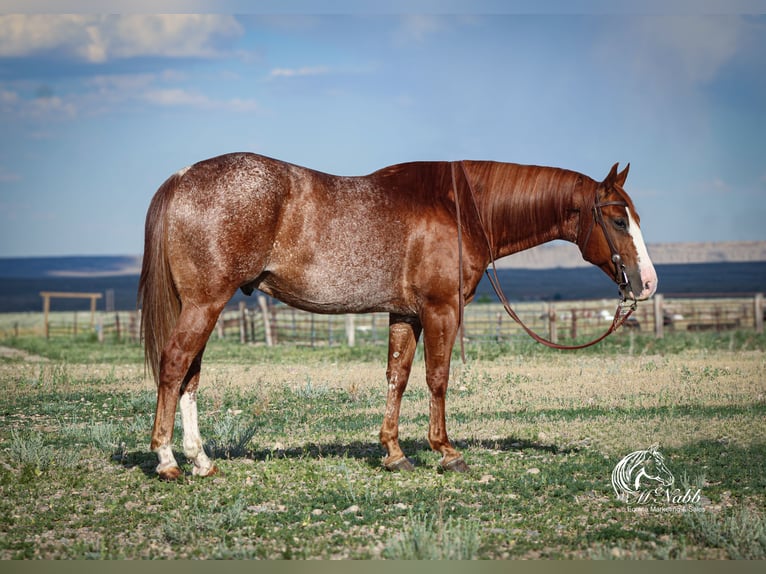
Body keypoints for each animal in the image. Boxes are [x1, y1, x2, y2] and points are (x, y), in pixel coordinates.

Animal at [138, 153, 658, 480]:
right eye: (617, 220)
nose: (648, 283)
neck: (458, 206)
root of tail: (182, 177)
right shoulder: (440, 309)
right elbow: (438, 378)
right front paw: (446, 452)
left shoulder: (405, 314)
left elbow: (397, 377)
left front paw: (393, 453)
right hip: (206, 303)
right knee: (174, 365)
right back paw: (168, 460)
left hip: (203, 305)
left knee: (189, 376)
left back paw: (201, 461)